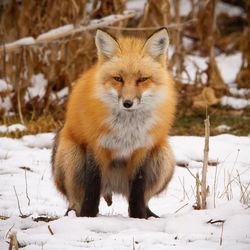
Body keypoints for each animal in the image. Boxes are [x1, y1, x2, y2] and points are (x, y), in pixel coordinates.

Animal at [51, 27, 176, 219]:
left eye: (142, 79)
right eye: (118, 78)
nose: (127, 103)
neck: (127, 128)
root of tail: (111, 189)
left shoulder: (142, 149)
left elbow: (138, 190)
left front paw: (139, 217)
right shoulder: (96, 146)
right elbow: (92, 187)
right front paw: (88, 216)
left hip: (164, 156)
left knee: (143, 197)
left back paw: (148, 214)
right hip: (71, 155)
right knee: (75, 199)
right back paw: (74, 214)